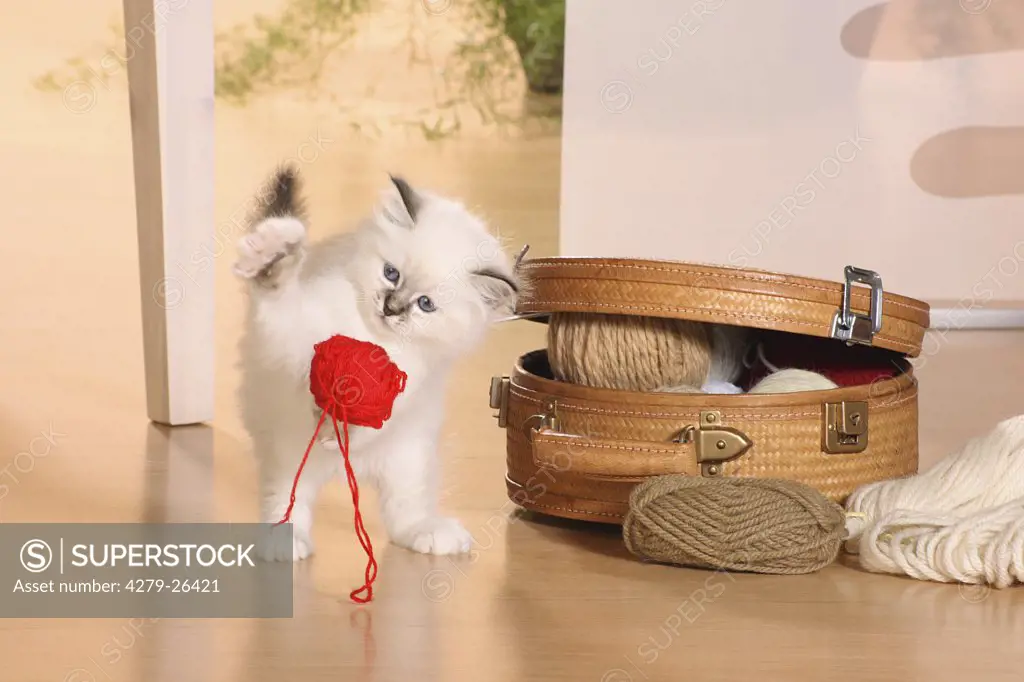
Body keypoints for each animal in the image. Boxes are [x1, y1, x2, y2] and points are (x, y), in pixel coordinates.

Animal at [234, 164, 520, 557]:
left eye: (425, 304)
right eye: (391, 273)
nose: (391, 308)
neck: (369, 335)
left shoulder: (411, 383)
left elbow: (372, 415)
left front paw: (340, 424)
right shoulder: (288, 337)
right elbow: (280, 286)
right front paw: (275, 250)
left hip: (408, 458)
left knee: (404, 517)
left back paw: (431, 534)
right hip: (289, 453)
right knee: (289, 501)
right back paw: (287, 543)